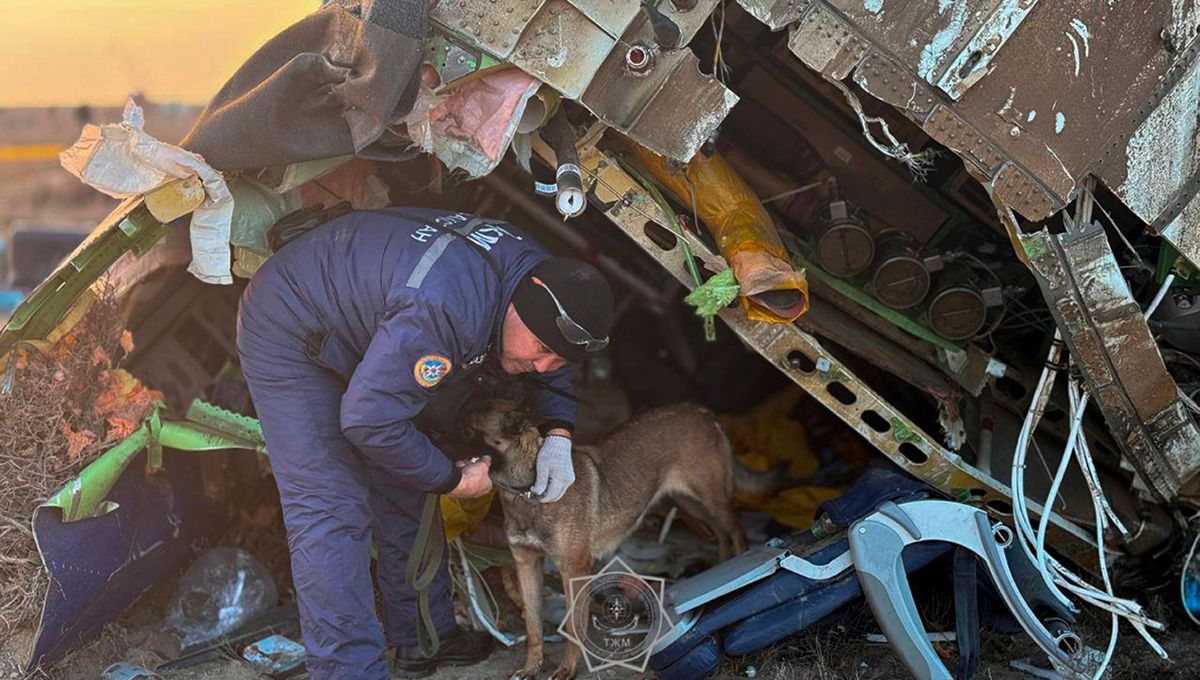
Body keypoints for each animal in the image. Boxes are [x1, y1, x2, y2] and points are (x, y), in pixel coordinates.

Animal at [465, 402, 739, 680]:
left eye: (468, 429)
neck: (528, 492)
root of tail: (700, 410)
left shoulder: (574, 569)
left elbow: (573, 626)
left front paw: (567, 669)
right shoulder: (526, 564)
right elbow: (533, 627)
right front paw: (531, 668)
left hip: (709, 500)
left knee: (736, 530)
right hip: (690, 504)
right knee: (721, 534)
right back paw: (723, 565)